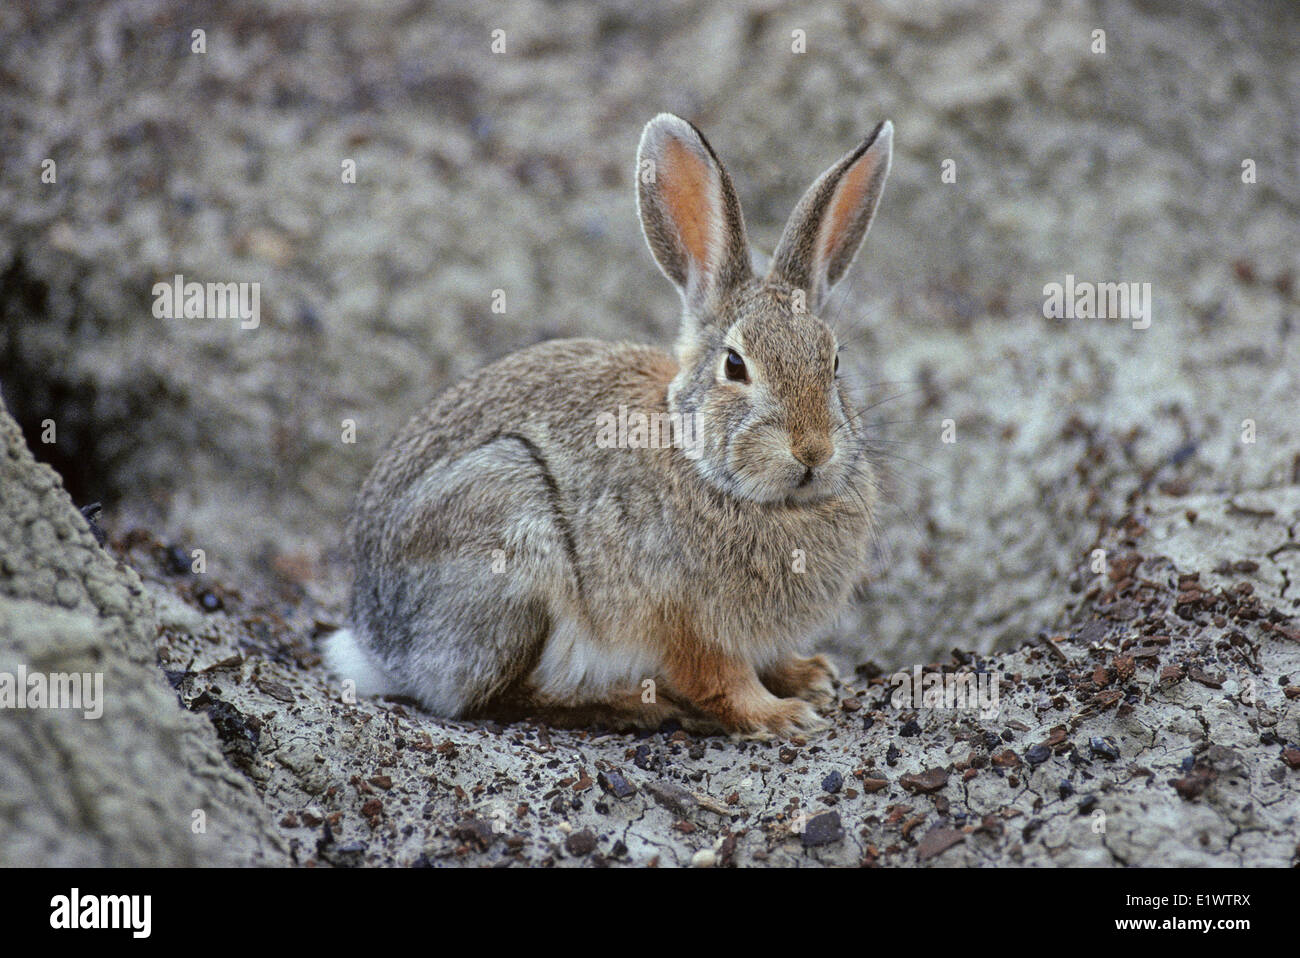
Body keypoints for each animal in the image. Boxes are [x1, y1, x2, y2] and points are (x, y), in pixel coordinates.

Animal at [325, 112, 893, 738]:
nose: (813, 451)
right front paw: (783, 715)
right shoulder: (688, 625)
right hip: (510, 535)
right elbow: (723, 683)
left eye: (834, 362)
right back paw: (637, 704)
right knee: (497, 697)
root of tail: (379, 645)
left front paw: (810, 676)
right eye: (735, 365)